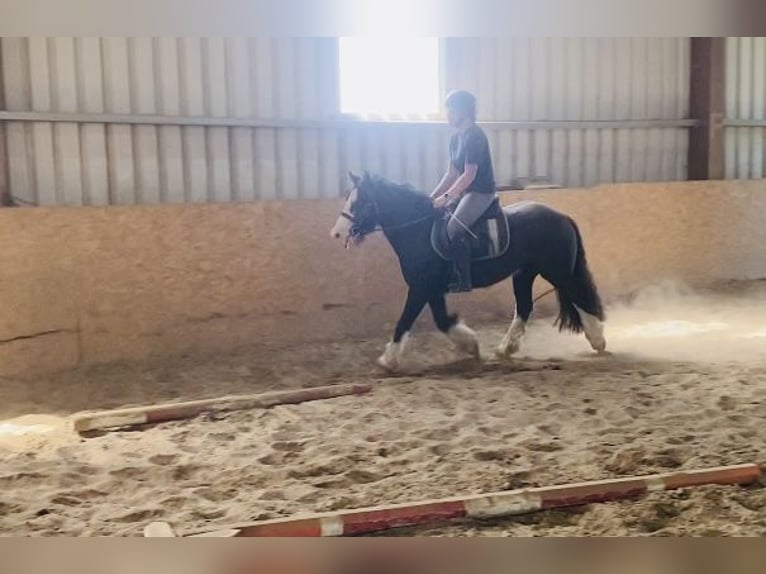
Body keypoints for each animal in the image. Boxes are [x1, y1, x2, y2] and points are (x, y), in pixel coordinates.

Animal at [330, 170, 608, 374]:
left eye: (359, 203)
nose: (337, 234)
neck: (418, 230)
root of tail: (562, 217)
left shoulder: (420, 288)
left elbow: (405, 321)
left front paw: (388, 360)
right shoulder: (431, 290)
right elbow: (442, 320)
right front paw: (470, 345)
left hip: (558, 273)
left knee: (579, 299)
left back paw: (598, 341)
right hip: (524, 273)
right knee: (525, 307)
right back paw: (505, 349)